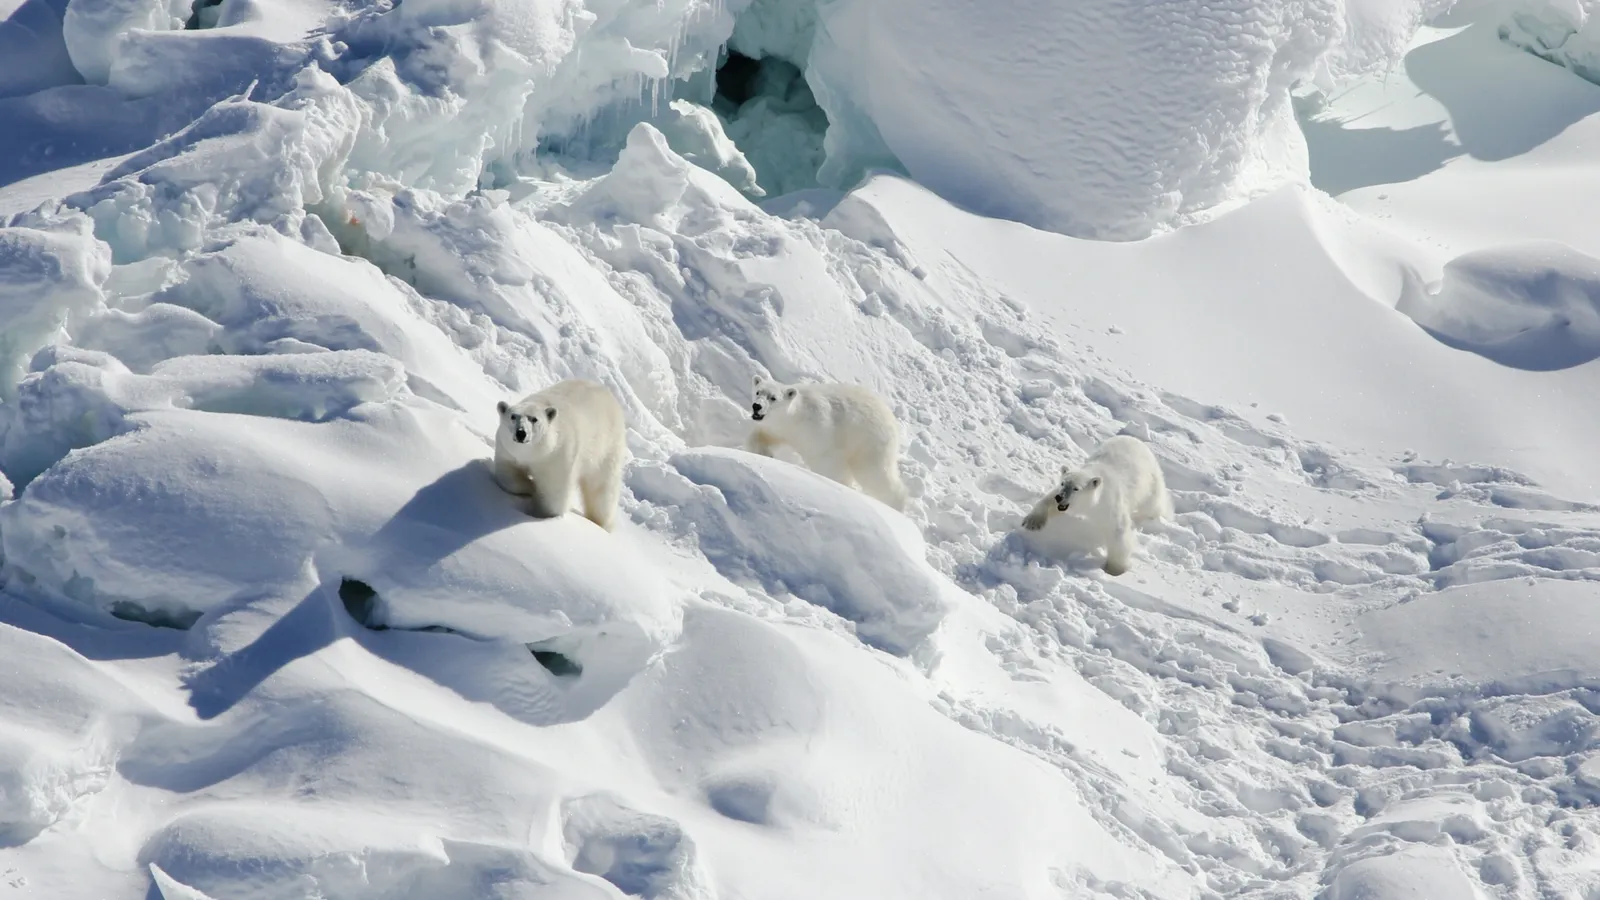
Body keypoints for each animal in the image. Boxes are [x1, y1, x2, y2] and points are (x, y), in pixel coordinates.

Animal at [494, 378, 627, 531]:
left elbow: (553, 494)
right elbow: (507, 475)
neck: (534, 454)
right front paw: (530, 486)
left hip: (606, 448)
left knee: (601, 489)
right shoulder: (508, 452)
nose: (521, 433)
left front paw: (541, 513)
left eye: (534, 419)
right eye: (513, 416)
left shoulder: (557, 456)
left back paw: (601, 523)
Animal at [744, 375, 909, 511]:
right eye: (758, 392)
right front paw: (764, 453)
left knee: (875, 474)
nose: (756, 406)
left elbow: (827, 461)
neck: (796, 417)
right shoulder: (781, 428)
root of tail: (892, 420)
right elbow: (761, 435)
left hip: (868, 441)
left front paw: (836, 485)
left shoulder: (817, 429)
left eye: (773, 398)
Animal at [1020, 434, 1172, 576]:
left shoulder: (1110, 502)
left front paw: (1114, 570)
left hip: (1150, 484)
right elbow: (1047, 500)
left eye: (1076, 488)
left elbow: (1118, 531)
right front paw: (1032, 522)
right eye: (1063, 483)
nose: (1059, 497)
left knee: (1154, 505)